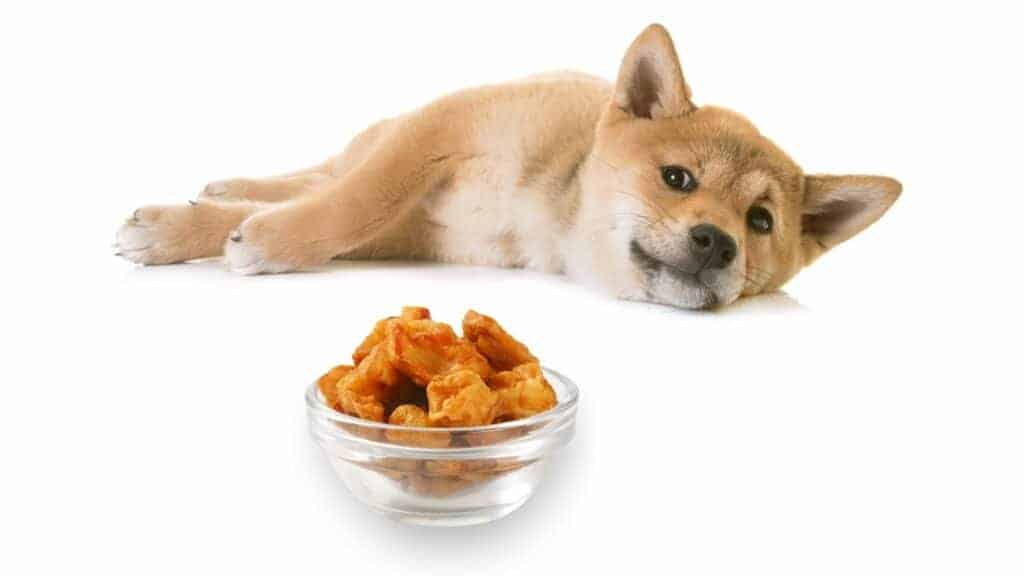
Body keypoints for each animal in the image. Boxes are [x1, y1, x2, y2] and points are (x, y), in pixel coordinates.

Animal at [114, 25, 905, 309]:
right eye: (677, 178)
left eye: (761, 221)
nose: (717, 243)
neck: (548, 213)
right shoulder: (442, 125)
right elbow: (355, 199)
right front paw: (246, 235)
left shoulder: (414, 234)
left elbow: (346, 213)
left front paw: (235, 230)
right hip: (384, 133)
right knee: (326, 172)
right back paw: (227, 195)